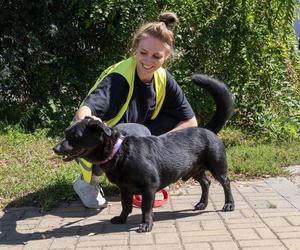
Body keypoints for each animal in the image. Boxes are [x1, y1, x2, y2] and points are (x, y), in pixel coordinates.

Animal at [54, 73, 237, 232]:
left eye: (75, 136)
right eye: (65, 133)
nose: (55, 148)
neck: (121, 152)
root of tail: (208, 130)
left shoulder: (149, 188)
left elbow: (146, 209)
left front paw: (146, 225)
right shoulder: (125, 189)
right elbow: (125, 205)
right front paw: (121, 218)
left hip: (217, 166)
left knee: (226, 183)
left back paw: (229, 204)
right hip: (194, 169)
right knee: (206, 183)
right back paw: (202, 203)